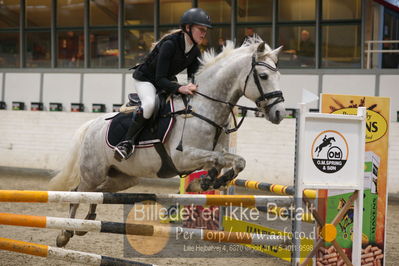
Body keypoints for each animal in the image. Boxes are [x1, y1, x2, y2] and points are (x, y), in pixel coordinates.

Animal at [49, 39, 288, 247]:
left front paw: (208, 182)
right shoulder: (183, 156)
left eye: (279, 75)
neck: (204, 109)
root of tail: (92, 125)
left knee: (100, 193)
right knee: (77, 194)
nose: (280, 113)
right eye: (263, 76)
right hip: (93, 172)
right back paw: (65, 233)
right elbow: (218, 159)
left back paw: (87, 222)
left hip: (124, 178)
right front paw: (206, 182)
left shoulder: (211, 153)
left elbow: (235, 161)